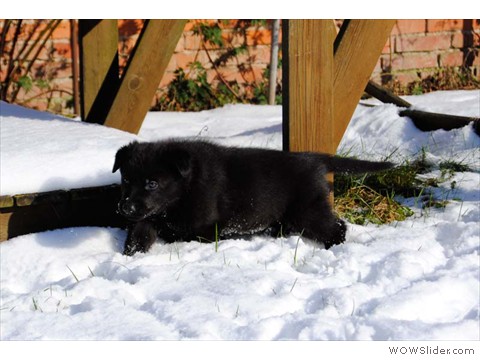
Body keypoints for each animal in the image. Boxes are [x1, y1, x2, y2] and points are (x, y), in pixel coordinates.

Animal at [113, 139, 394, 255]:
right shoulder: (147, 217)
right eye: (126, 180)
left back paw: (335, 247)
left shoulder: (206, 227)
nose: (126, 208)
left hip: (307, 209)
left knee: (336, 226)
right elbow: (138, 235)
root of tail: (314, 159)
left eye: (152, 183)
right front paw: (130, 256)